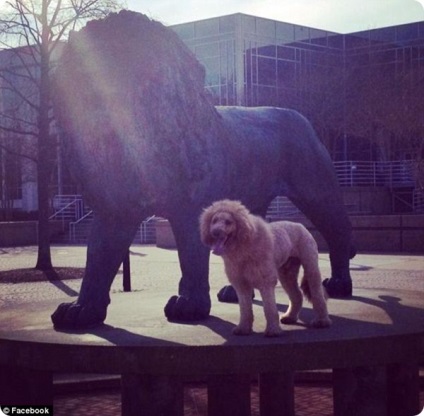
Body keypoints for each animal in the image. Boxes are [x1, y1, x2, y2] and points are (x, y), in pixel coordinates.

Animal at [199, 199, 332, 338]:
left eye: (228, 222)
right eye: (214, 221)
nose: (215, 232)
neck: (244, 245)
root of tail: (300, 225)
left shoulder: (265, 282)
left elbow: (269, 308)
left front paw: (273, 330)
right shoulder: (241, 284)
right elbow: (245, 309)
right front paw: (243, 328)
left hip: (310, 266)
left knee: (317, 294)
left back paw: (322, 321)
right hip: (287, 273)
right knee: (296, 295)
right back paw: (290, 317)